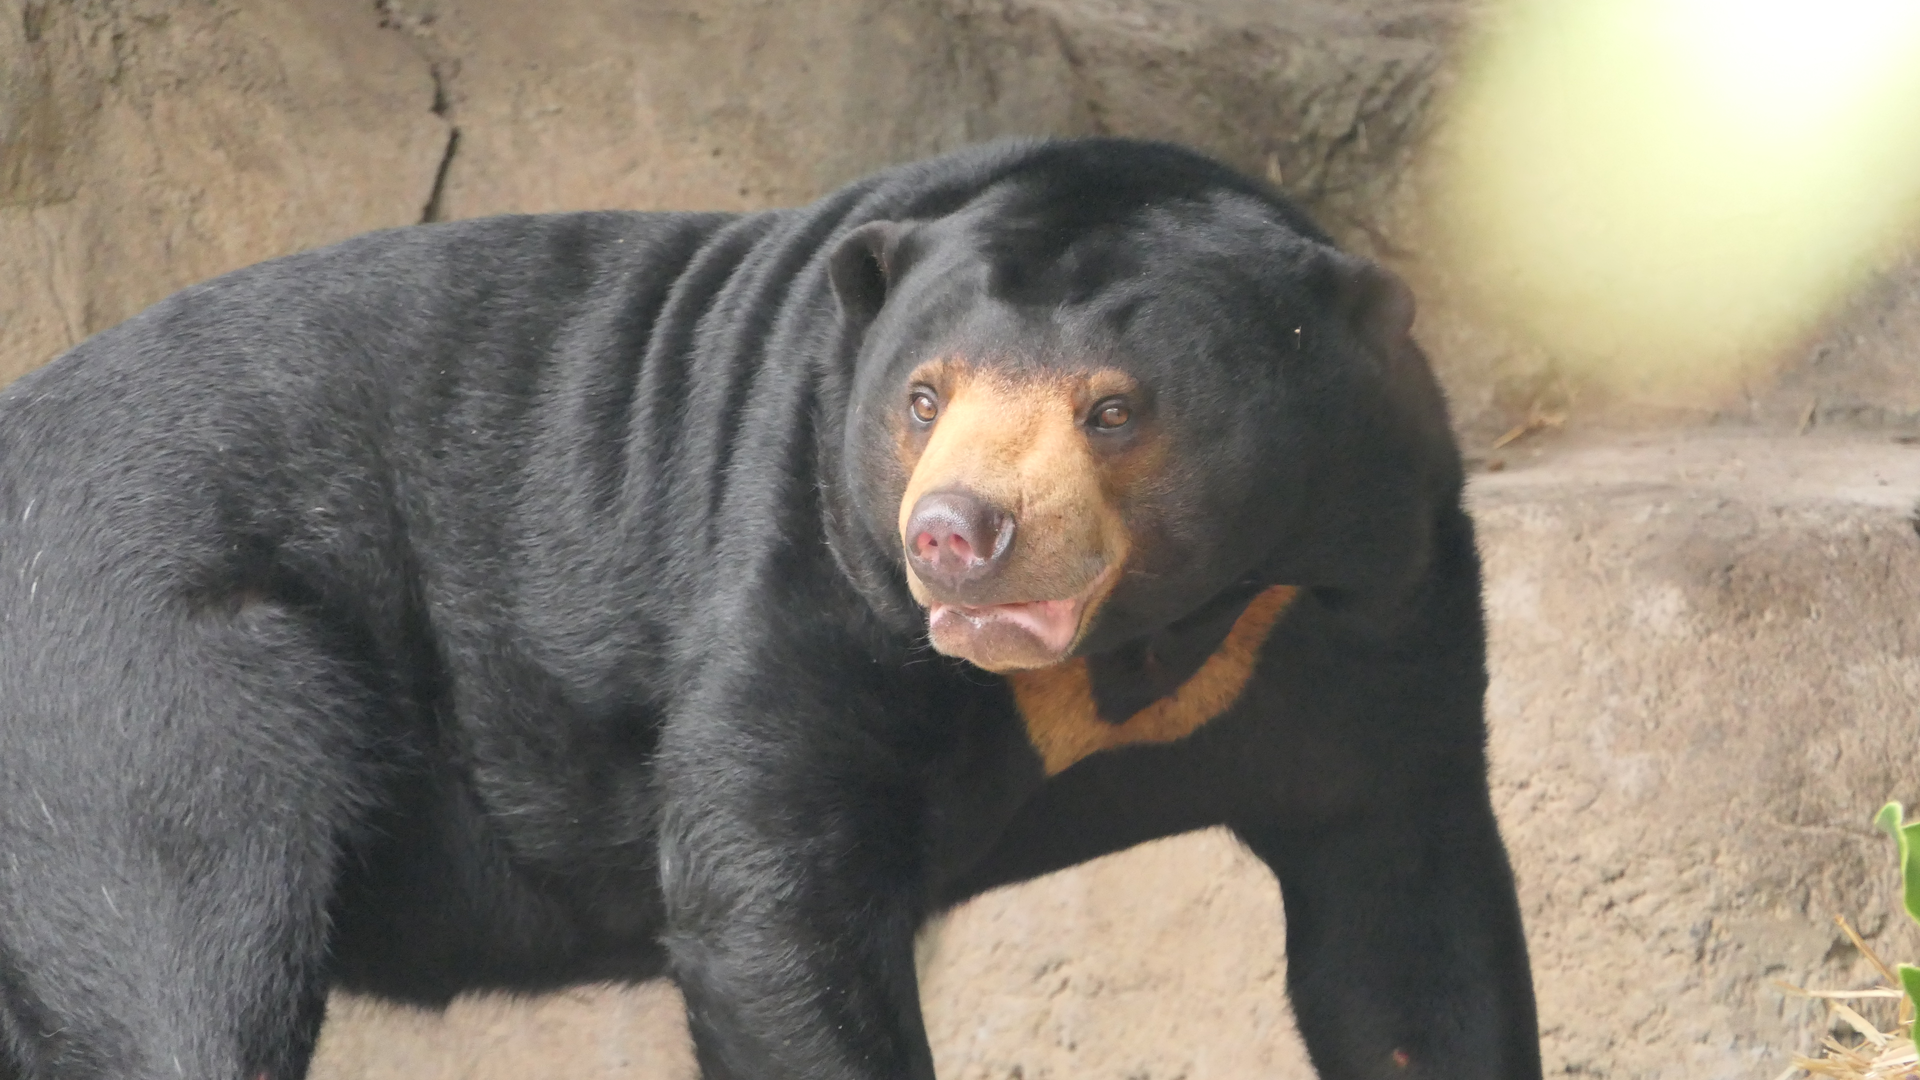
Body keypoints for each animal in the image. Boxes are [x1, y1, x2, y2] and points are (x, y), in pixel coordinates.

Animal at [0, 137, 1540, 1080]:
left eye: (1115, 409)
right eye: (920, 397)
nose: (955, 536)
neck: (1149, 639)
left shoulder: (1375, 602)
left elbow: (1405, 933)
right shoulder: (801, 562)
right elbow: (771, 900)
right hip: (139, 682)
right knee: (196, 937)